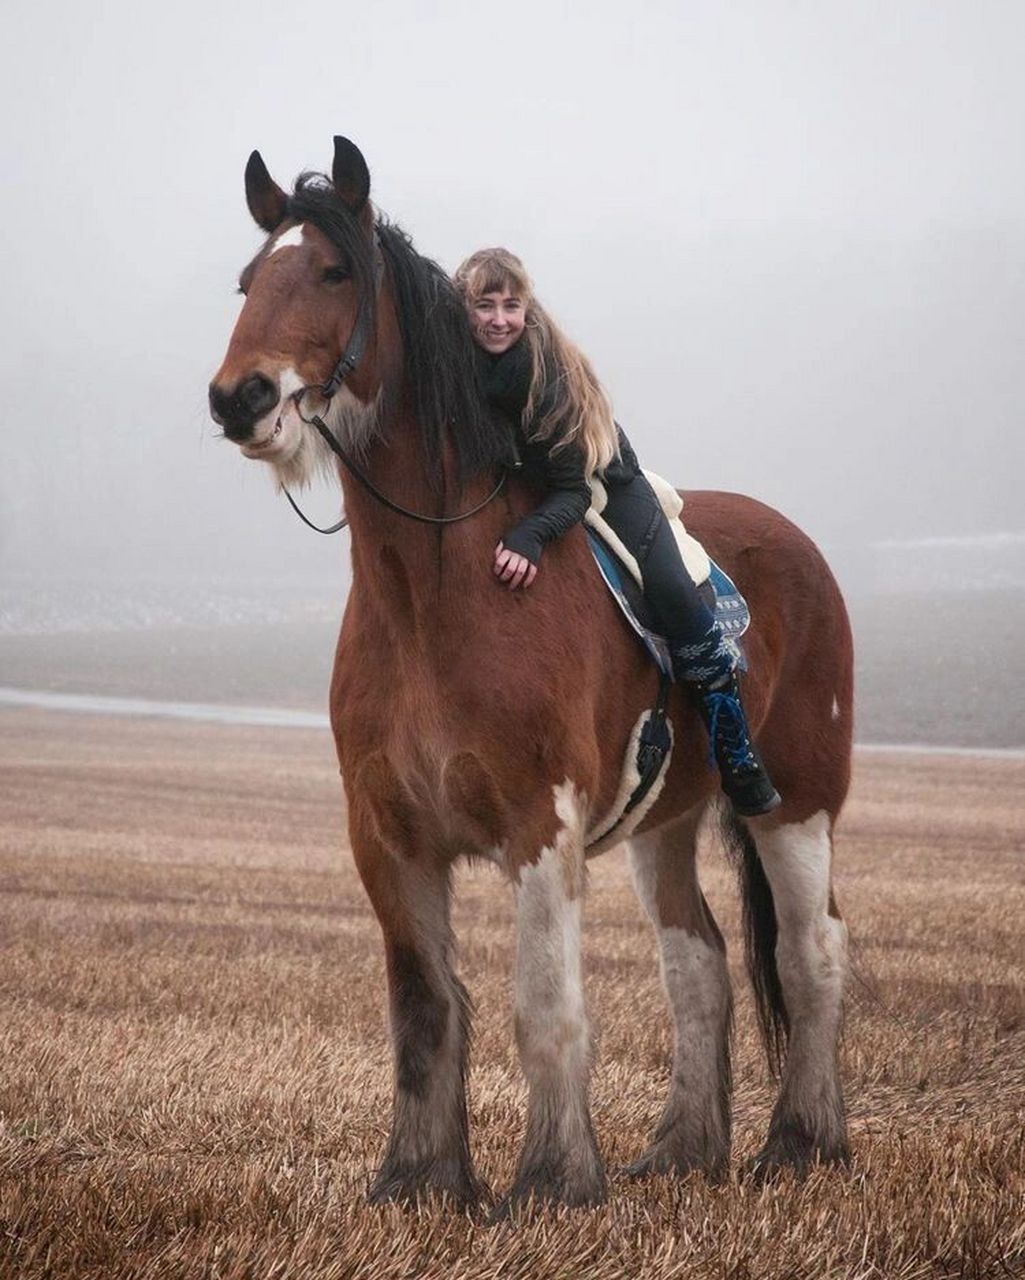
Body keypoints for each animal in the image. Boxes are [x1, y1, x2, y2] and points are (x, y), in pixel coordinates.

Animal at [207, 140, 854, 1208]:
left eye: (334, 272)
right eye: (249, 279)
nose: (240, 397)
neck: (437, 591)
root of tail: (801, 546)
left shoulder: (537, 829)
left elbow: (542, 1007)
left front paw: (554, 1181)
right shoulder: (387, 840)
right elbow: (424, 1009)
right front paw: (420, 1179)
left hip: (795, 806)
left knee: (810, 956)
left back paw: (803, 1144)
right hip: (664, 825)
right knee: (699, 964)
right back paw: (682, 1150)